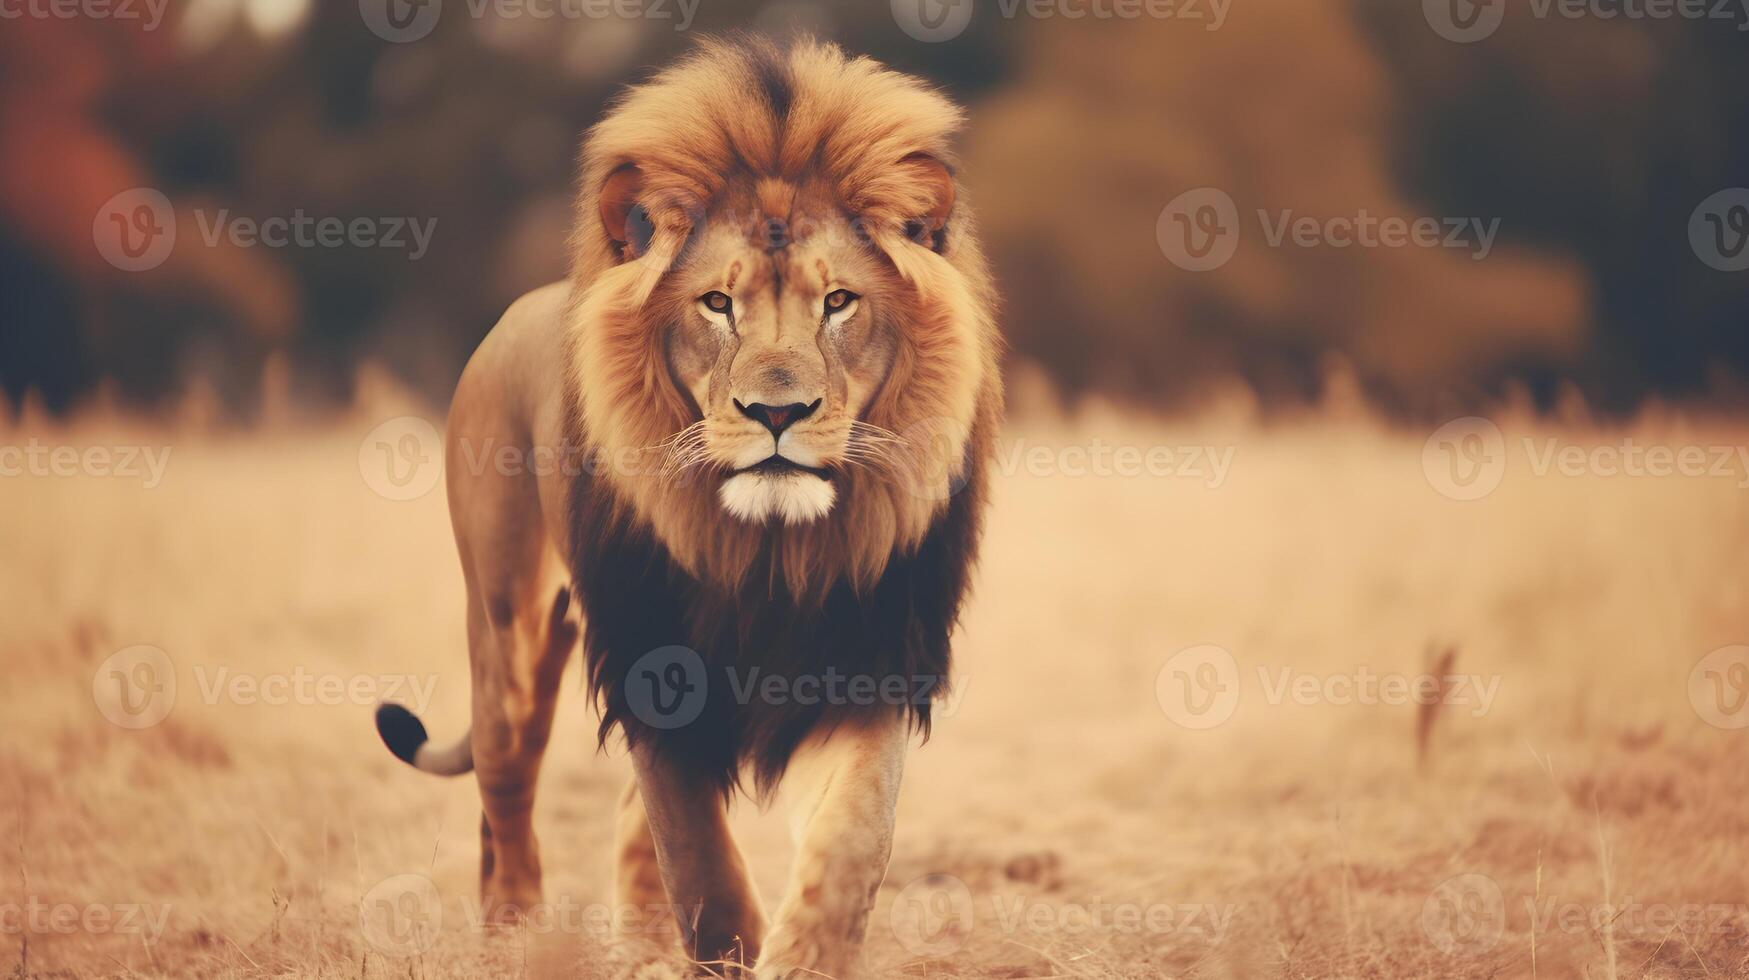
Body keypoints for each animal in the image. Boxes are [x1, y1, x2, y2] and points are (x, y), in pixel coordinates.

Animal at [372, 34, 1000, 973]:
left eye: (837, 302)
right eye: (716, 303)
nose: (777, 412)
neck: (770, 552)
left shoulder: (868, 664)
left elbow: (846, 849)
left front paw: (798, 957)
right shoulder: (652, 672)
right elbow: (703, 871)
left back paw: (635, 946)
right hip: (506, 629)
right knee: (505, 789)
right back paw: (515, 935)